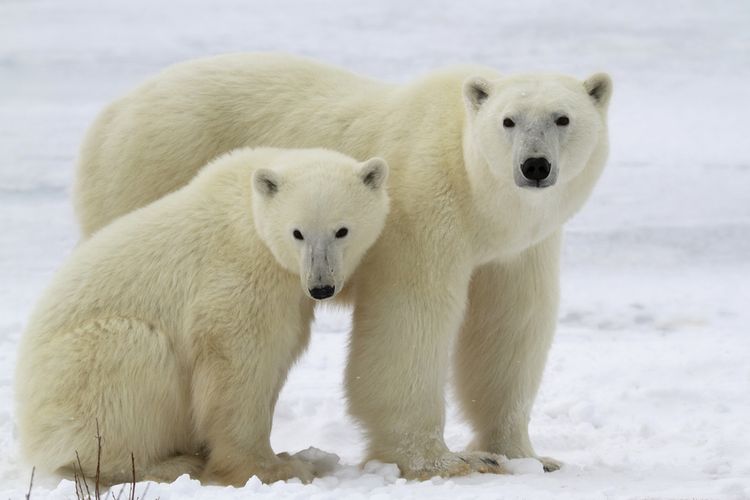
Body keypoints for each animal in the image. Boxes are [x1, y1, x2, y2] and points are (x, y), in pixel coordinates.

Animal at [16, 146, 390, 486]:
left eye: (342, 230)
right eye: (297, 232)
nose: (321, 286)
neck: (251, 212)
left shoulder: (289, 297)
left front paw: (295, 457)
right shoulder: (236, 277)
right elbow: (238, 365)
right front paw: (278, 468)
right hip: (80, 373)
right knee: (136, 355)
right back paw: (169, 464)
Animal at [70, 52, 612, 478]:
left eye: (563, 118)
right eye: (508, 121)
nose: (535, 166)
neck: (477, 197)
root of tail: (110, 113)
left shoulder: (518, 249)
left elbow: (509, 329)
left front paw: (528, 456)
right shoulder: (422, 214)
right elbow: (410, 324)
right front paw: (443, 462)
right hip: (151, 171)